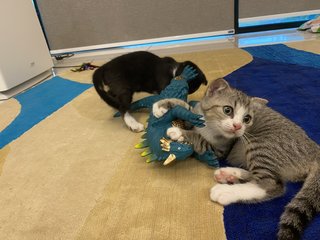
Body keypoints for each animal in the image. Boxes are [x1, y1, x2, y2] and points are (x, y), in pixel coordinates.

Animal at [152, 78, 320, 239]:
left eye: (247, 119)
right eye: (227, 110)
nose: (238, 126)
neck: (209, 126)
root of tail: (315, 149)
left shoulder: (220, 149)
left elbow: (200, 140)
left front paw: (180, 133)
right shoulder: (197, 116)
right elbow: (187, 108)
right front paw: (163, 105)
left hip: (263, 145)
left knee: (273, 184)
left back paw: (226, 191)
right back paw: (230, 174)